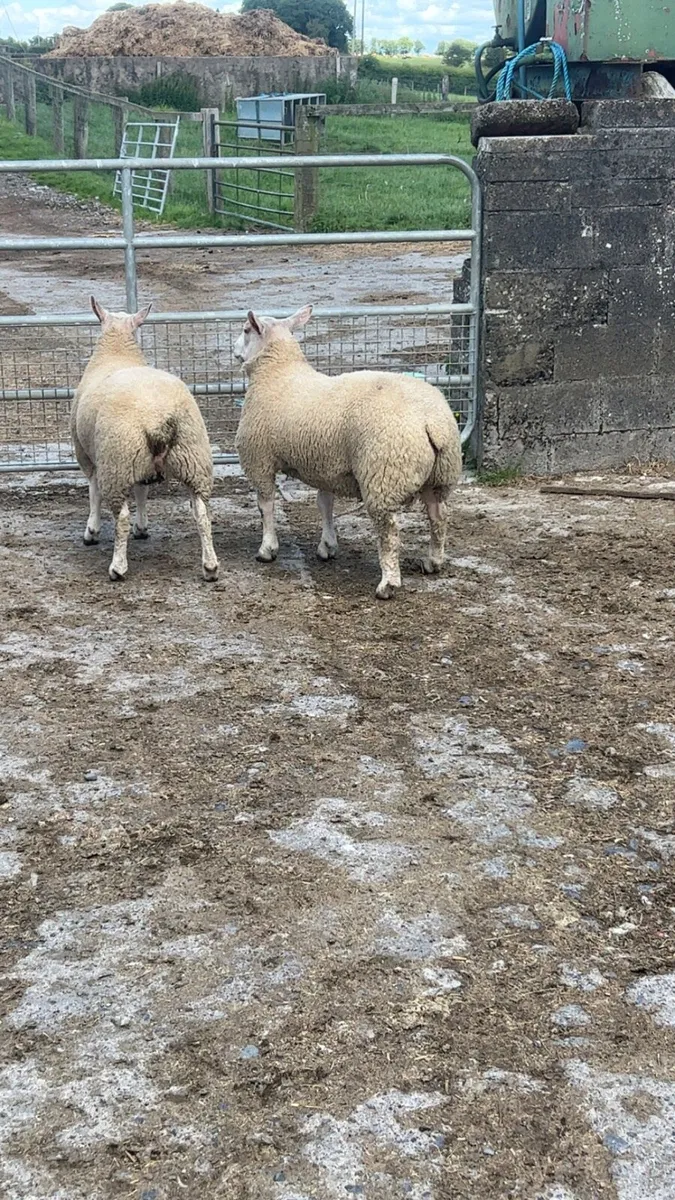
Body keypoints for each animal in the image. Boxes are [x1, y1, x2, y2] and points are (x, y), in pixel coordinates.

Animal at [70, 297, 219, 582]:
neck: (117, 352)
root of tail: (158, 418)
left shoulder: (87, 454)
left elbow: (93, 491)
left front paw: (91, 531)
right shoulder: (140, 464)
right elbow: (142, 491)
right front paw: (142, 527)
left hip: (117, 459)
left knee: (121, 516)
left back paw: (118, 567)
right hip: (193, 457)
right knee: (202, 514)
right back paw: (210, 566)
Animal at [233, 305, 462, 599]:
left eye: (245, 330)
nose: (233, 349)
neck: (277, 371)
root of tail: (432, 421)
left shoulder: (259, 459)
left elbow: (266, 505)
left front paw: (267, 549)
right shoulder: (324, 464)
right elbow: (324, 504)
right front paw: (327, 546)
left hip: (384, 472)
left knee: (389, 532)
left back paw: (388, 583)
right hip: (439, 476)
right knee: (439, 516)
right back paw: (433, 561)